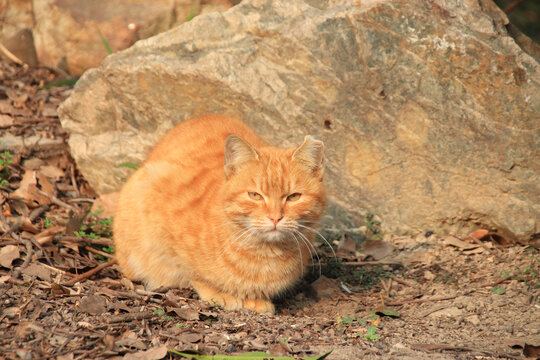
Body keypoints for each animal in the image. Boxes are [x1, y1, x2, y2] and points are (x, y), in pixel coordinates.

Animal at [113, 114, 324, 312]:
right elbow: (191, 272)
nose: (275, 217)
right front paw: (220, 293)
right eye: (255, 195)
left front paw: (255, 299)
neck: (265, 255)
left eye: (294, 197)